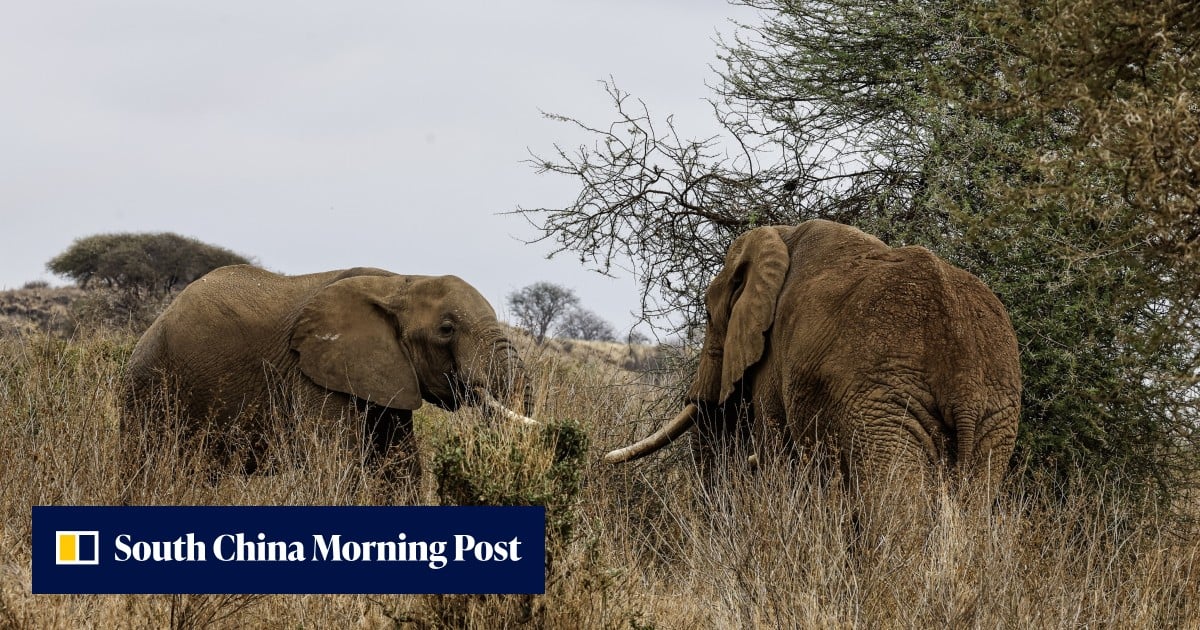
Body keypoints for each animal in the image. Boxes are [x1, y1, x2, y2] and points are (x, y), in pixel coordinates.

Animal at [124, 265, 536, 481]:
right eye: (447, 329)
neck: (400, 282)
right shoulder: (314, 376)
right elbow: (337, 463)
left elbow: (401, 469)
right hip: (152, 387)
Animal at [605, 220, 1021, 504]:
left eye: (708, 316)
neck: (781, 237)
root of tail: (963, 375)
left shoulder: (775, 360)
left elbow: (776, 452)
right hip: (996, 412)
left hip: (884, 405)